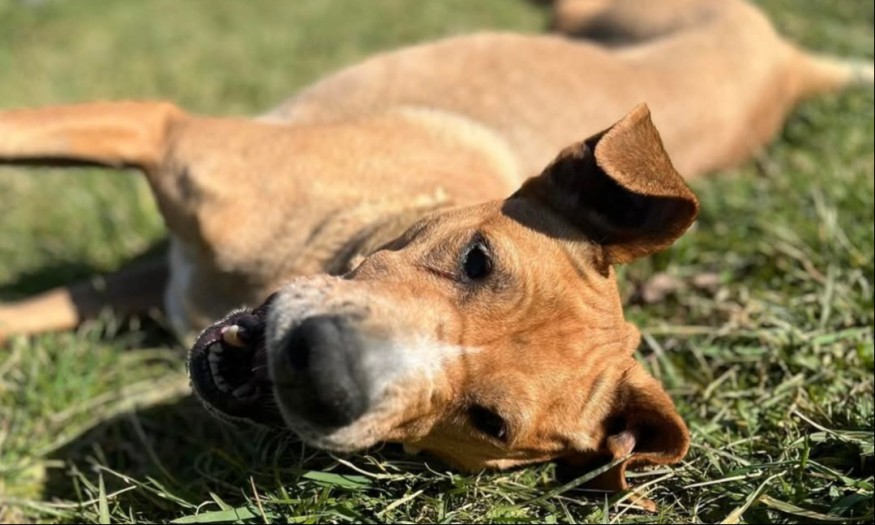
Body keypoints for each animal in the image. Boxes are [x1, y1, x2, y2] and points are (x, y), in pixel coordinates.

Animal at [1, 0, 871, 503]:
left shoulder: (147, 278)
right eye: (477, 257)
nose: (323, 370)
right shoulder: (161, 138)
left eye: (490, 423)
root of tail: (790, 63)